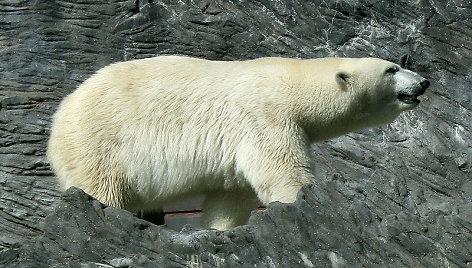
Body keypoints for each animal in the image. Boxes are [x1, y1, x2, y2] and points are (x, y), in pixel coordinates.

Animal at [46, 55, 430, 229]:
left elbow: (231, 195)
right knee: (104, 188)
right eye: (392, 69)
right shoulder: (265, 118)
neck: (292, 85)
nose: (424, 82)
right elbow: (282, 172)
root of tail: (60, 116)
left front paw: (219, 229)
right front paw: (303, 203)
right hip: (100, 144)